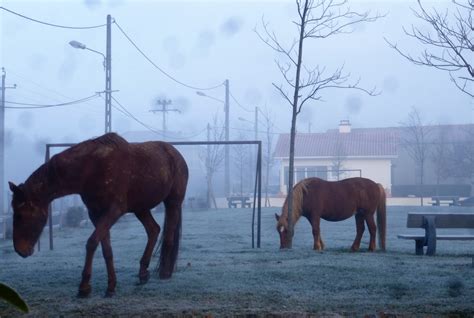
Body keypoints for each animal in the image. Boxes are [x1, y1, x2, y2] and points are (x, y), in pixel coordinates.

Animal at [7, 133, 189, 296]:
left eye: (20, 215)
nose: (20, 250)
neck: (90, 168)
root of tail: (176, 154)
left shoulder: (113, 211)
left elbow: (92, 242)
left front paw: (84, 286)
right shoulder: (96, 214)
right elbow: (106, 249)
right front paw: (111, 286)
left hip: (173, 202)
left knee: (168, 235)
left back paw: (165, 272)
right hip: (140, 208)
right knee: (153, 230)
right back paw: (143, 273)